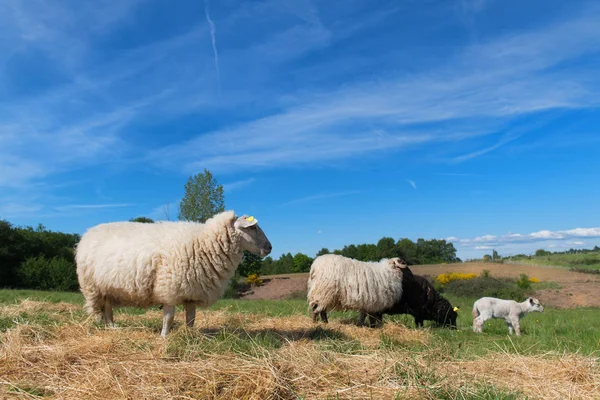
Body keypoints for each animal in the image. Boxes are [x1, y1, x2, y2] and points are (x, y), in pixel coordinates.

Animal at [75, 211, 272, 336]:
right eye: (252, 228)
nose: (269, 248)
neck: (203, 243)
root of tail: (87, 233)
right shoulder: (169, 288)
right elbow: (169, 318)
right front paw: (164, 337)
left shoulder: (192, 292)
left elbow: (191, 319)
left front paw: (189, 336)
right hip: (93, 287)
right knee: (100, 311)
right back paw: (103, 327)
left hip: (107, 287)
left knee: (108, 309)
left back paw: (112, 328)